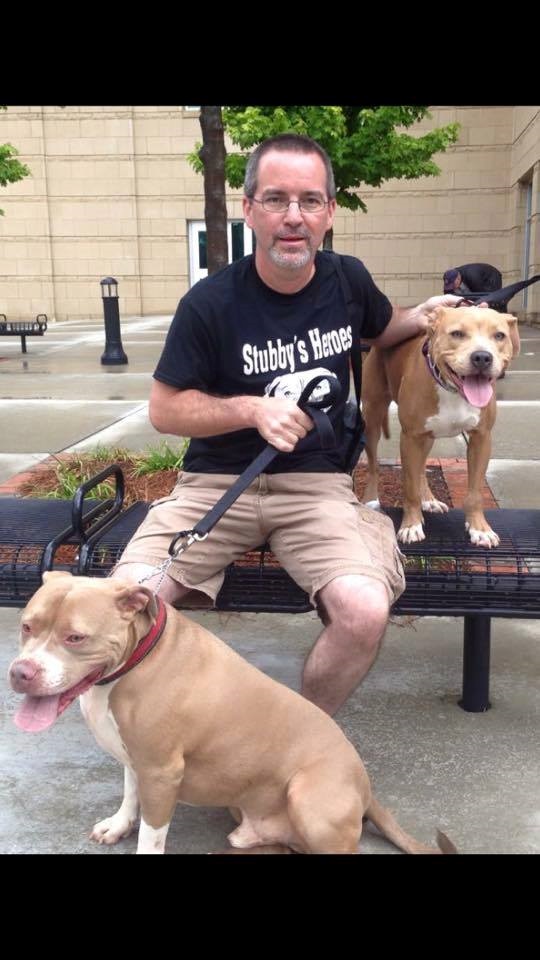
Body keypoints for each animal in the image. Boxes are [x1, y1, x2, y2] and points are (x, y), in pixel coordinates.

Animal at [8, 572, 456, 855]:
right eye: (27, 626)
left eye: (75, 637)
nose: (20, 672)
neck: (135, 659)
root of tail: (365, 787)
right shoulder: (135, 758)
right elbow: (129, 792)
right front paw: (118, 826)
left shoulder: (160, 771)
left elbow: (152, 834)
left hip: (310, 798)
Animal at [361, 305, 519, 547]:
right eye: (457, 334)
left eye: (499, 336)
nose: (482, 357)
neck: (452, 389)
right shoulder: (410, 437)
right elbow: (409, 488)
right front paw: (411, 525)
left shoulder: (481, 438)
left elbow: (475, 492)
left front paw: (479, 528)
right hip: (372, 419)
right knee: (374, 465)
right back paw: (371, 499)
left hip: (427, 437)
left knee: (420, 469)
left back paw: (429, 499)